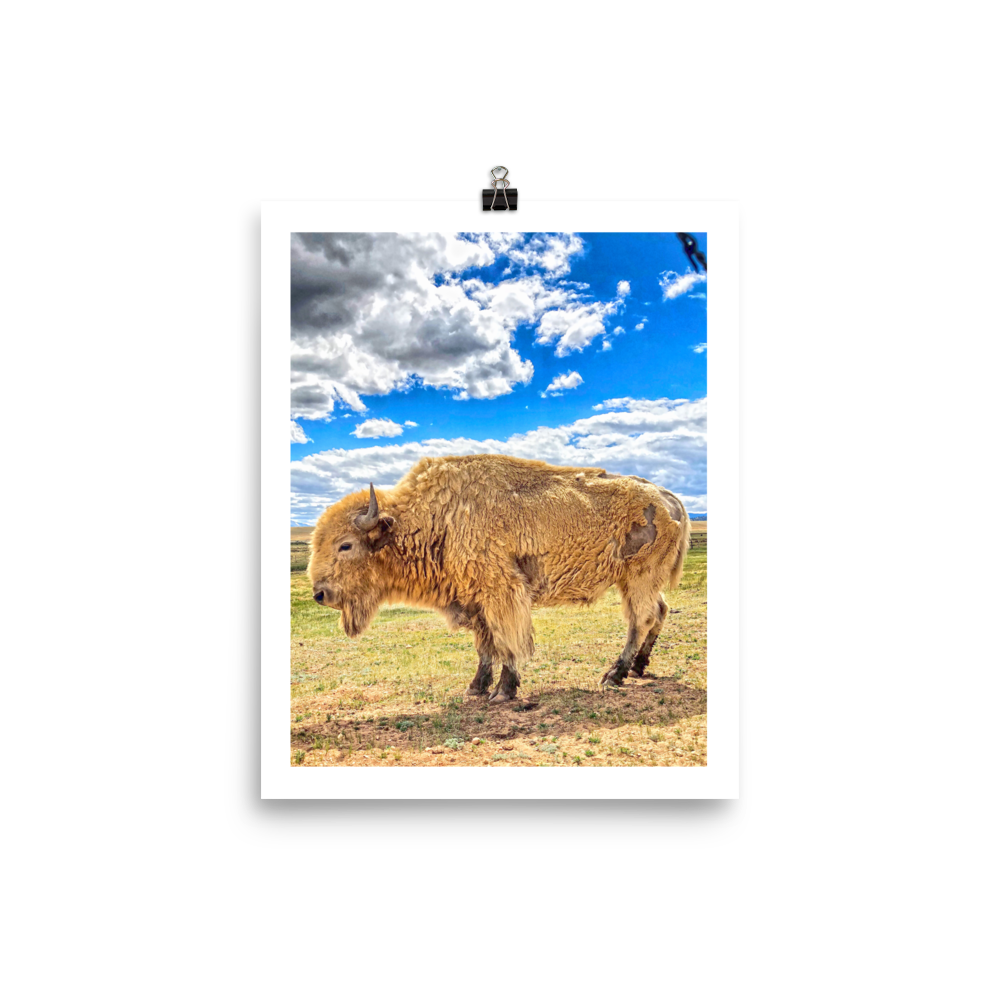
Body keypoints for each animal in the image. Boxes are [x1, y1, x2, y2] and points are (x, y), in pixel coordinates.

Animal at [308, 454, 690, 703]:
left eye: (345, 545)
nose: (320, 594)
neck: (434, 518)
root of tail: (668, 499)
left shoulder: (501, 594)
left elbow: (506, 641)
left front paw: (503, 691)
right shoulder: (473, 600)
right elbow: (484, 645)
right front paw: (476, 687)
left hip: (639, 576)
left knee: (641, 619)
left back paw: (615, 675)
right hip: (636, 580)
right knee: (659, 611)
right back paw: (638, 668)